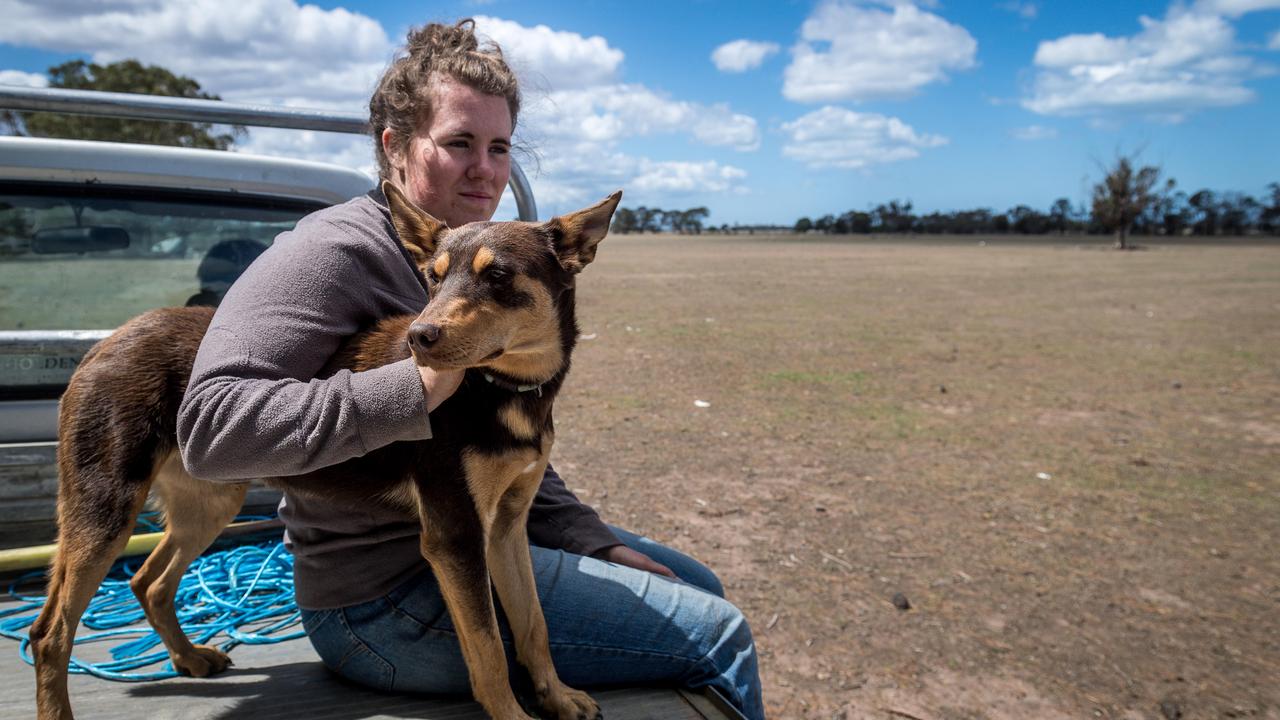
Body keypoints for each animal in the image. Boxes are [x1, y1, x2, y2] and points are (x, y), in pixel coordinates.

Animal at [32, 183, 622, 717]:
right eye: (432, 278)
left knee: (147, 581)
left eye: (497, 276)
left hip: (209, 504)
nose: (420, 337)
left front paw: (557, 696)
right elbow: (489, 648)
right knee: (50, 632)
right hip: (105, 511)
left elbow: (532, 624)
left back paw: (190, 658)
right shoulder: (454, 535)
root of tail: (105, 341)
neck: (506, 389)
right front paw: (514, 713)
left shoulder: (504, 527)